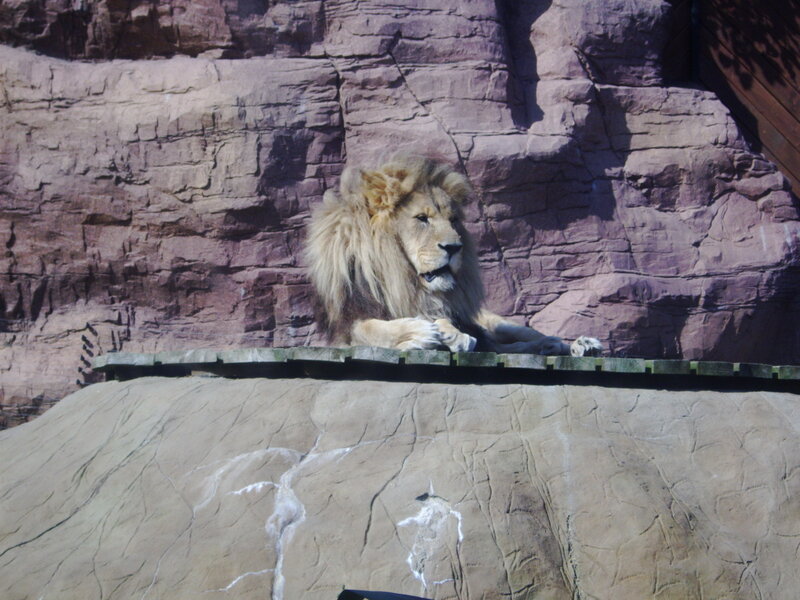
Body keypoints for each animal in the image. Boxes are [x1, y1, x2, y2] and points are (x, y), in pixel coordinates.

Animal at [306, 155, 602, 356]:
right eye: (422, 218)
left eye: (453, 220)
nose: (454, 247)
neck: (402, 279)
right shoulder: (346, 326)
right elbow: (373, 329)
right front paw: (424, 332)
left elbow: (447, 321)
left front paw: (449, 332)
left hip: (497, 322)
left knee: (526, 337)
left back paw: (579, 345)